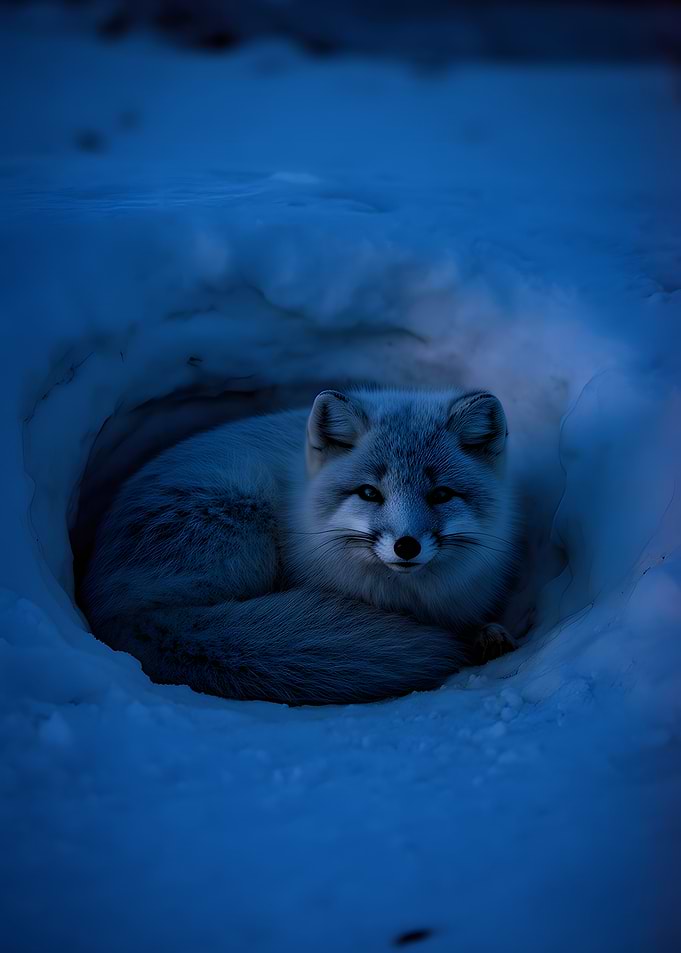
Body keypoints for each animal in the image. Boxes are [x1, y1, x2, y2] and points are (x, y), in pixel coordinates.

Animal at [80, 387, 521, 705]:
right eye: (369, 493)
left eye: (441, 494)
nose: (406, 546)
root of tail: (114, 612)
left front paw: (489, 635)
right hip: (246, 520)